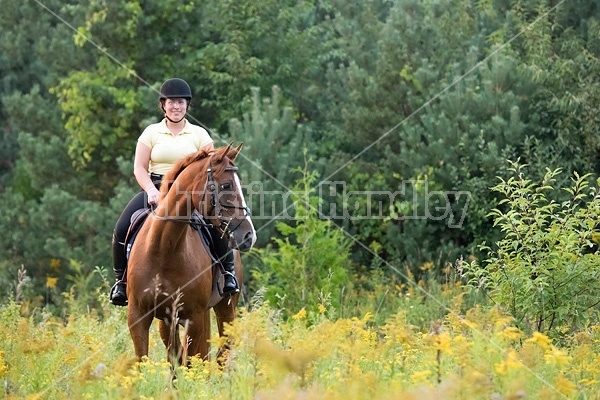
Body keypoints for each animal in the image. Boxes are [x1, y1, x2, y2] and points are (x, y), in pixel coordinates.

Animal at [126, 143, 255, 366]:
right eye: (226, 185)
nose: (249, 236)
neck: (163, 249)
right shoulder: (138, 315)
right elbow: (147, 361)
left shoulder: (192, 317)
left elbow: (191, 362)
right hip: (168, 321)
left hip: (225, 307)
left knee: (222, 354)